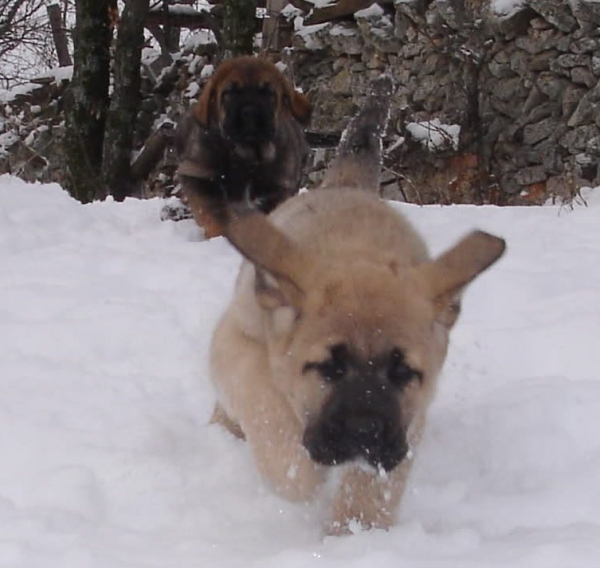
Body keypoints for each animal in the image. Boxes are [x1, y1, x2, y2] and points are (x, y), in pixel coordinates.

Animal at [173, 55, 312, 237]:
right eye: (230, 92)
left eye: (268, 93)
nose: (250, 111)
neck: (247, 157)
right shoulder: (198, 175)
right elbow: (215, 213)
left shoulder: (280, 189)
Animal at [211, 77, 506, 536]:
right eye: (328, 367)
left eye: (403, 371)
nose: (364, 433)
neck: (358, 251)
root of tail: (347, 185)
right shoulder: (239, 341)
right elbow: (269, 415)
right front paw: (299, 474)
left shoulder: (408, 422)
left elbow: (373, 488)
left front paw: (355, 534)